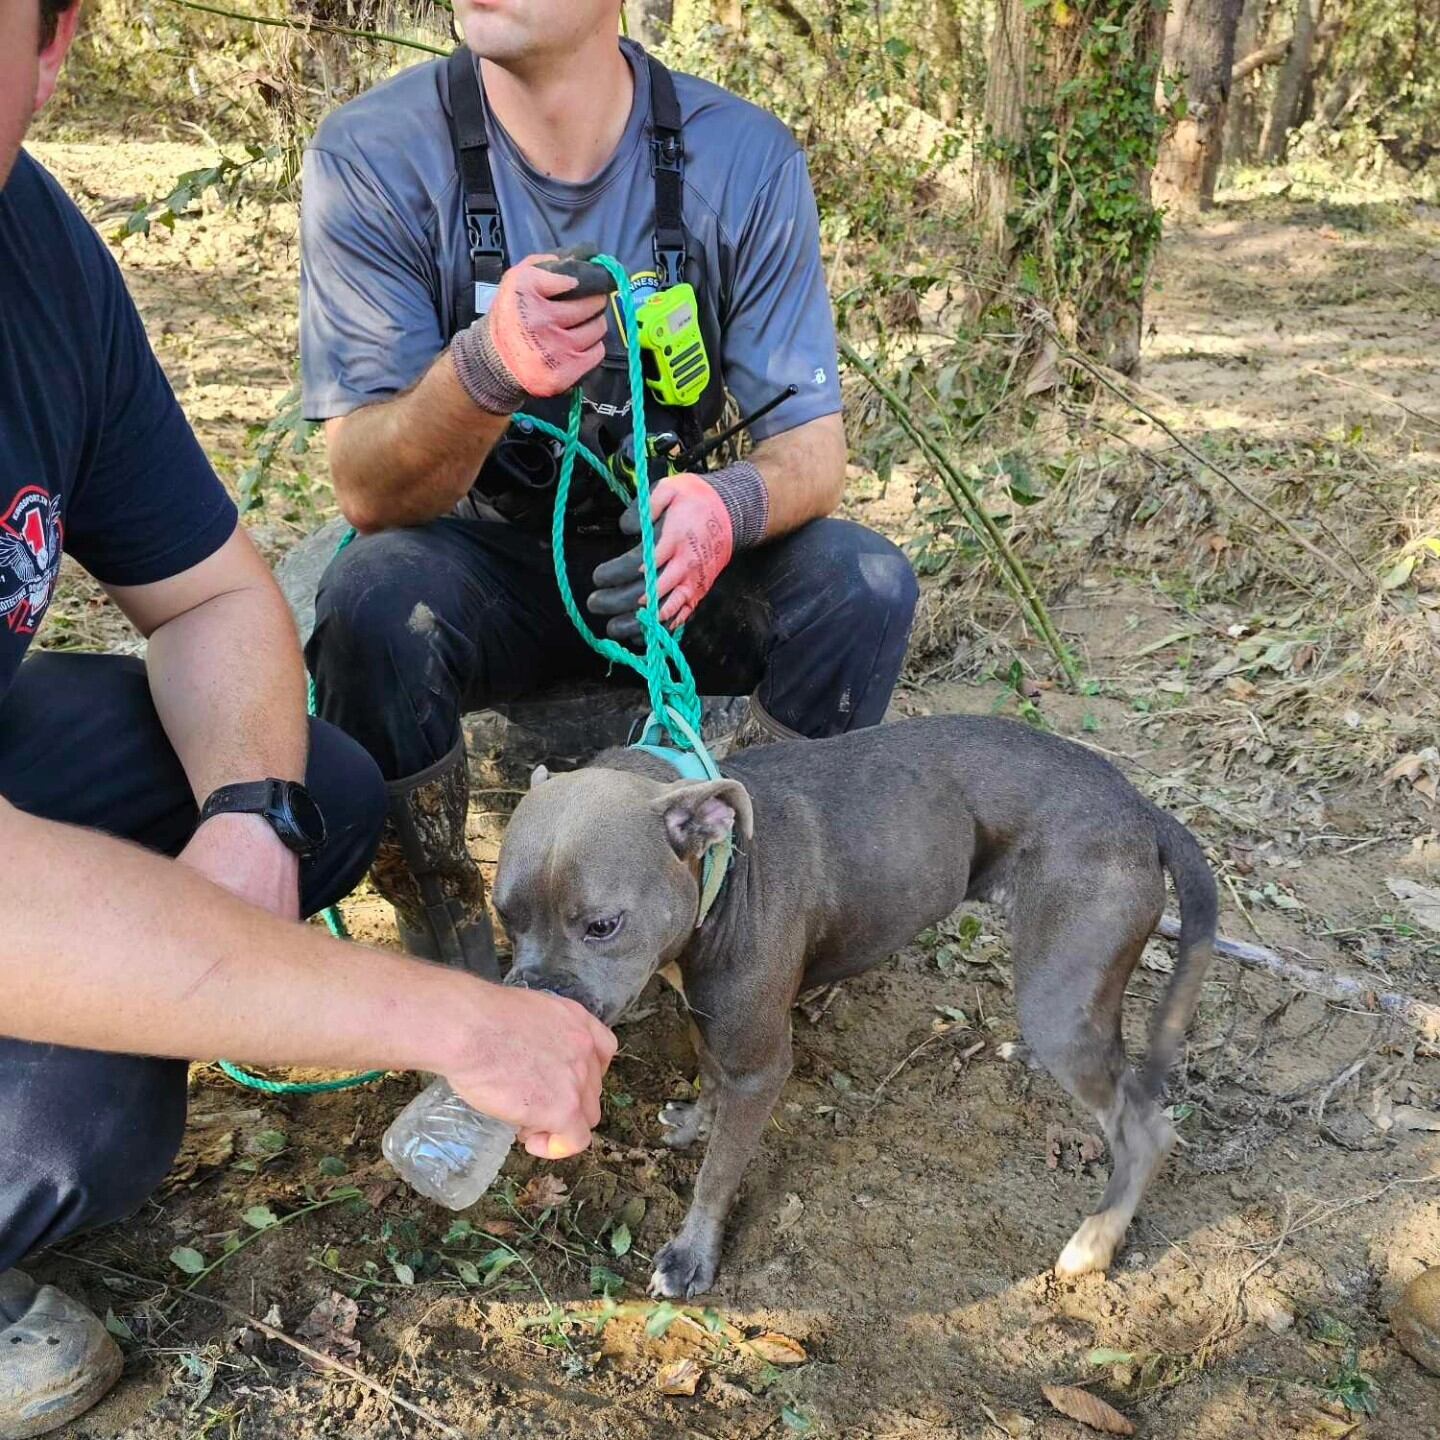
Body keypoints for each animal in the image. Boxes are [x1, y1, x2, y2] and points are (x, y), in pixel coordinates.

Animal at [495, 714, 1215, 1301]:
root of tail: (1139, 807)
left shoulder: (762, 1067)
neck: (720, 871)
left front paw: (692, 1255)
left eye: (603, 926)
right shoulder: (715, 1024)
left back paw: (1096, 1239)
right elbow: (710, 1078)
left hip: (1057, 998)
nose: (534, 997)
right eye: (505, 916)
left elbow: (718, 1173)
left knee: (1145, 1128)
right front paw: (696, 1121)